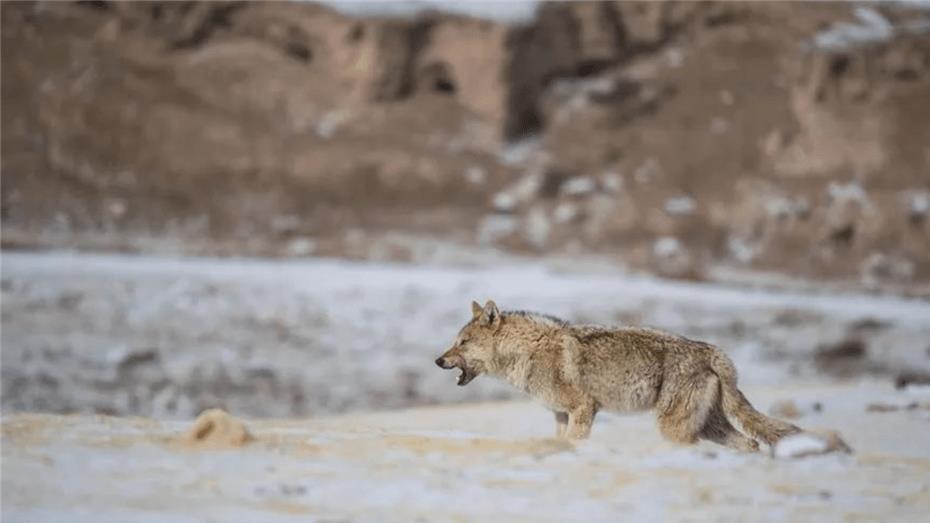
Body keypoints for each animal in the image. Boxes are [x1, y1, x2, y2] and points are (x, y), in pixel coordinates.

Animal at [434, 300, 796, 452]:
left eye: (462, 342)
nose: (438, 360)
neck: (527, 352)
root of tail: (714, 351)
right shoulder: (561, 415)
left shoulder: (583, 408)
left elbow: (576, 442)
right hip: (709, 426)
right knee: (750, 442)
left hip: (675, 429)